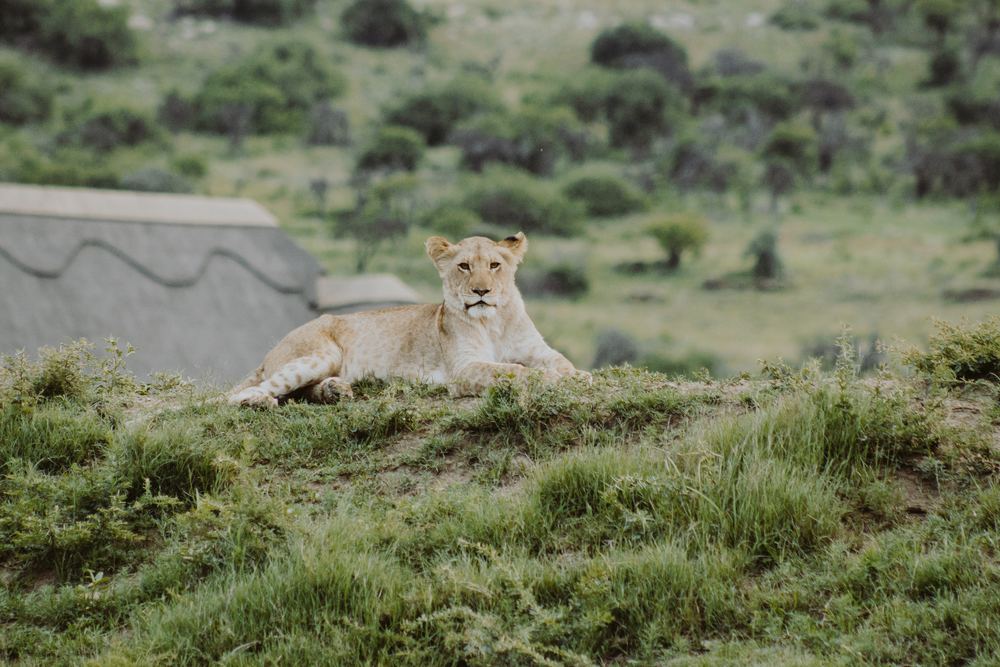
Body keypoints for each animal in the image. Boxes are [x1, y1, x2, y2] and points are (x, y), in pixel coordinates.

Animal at [228, 232, 589, 407]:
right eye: (464, 266)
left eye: (494, 265)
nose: (481, 291)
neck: (494, 322)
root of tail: (272, 350)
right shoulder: (464, 368)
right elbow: (512, 371)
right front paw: (550, 380)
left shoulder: (538, 350)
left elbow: (562, 363)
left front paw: (577, 376)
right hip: (320, 353)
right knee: (235, 397)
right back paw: (257, 402)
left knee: (298, 392)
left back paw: (335, 391)